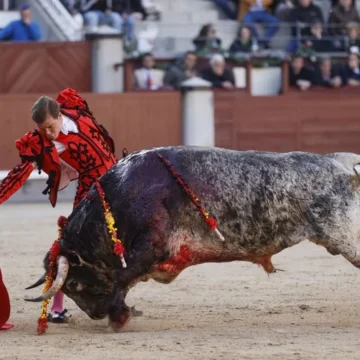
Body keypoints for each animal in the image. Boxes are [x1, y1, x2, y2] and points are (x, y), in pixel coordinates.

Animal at [24, 145, 360, 330]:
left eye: (74, 284)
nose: (96, 314)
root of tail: (339, 162)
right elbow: (125, 278)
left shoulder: (150, 245)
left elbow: (122, 276)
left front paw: (119, 317)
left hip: (347, 238)